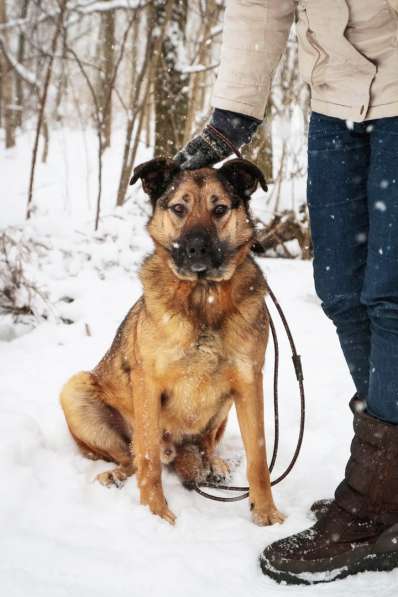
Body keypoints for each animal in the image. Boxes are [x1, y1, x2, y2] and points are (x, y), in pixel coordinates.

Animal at [59, 157, 284, 528]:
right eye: (179, 208)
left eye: (219, 209)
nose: (196, 248)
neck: (203, 297)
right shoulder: (148, 384)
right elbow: (148, 458)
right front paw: (155, 513)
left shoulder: (250, 382)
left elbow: (259, 458)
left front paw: (265, 511)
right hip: (76, 390)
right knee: (131, 456)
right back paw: (117, 474)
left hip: (224, 404)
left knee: (205, 443)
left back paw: (213, 464)